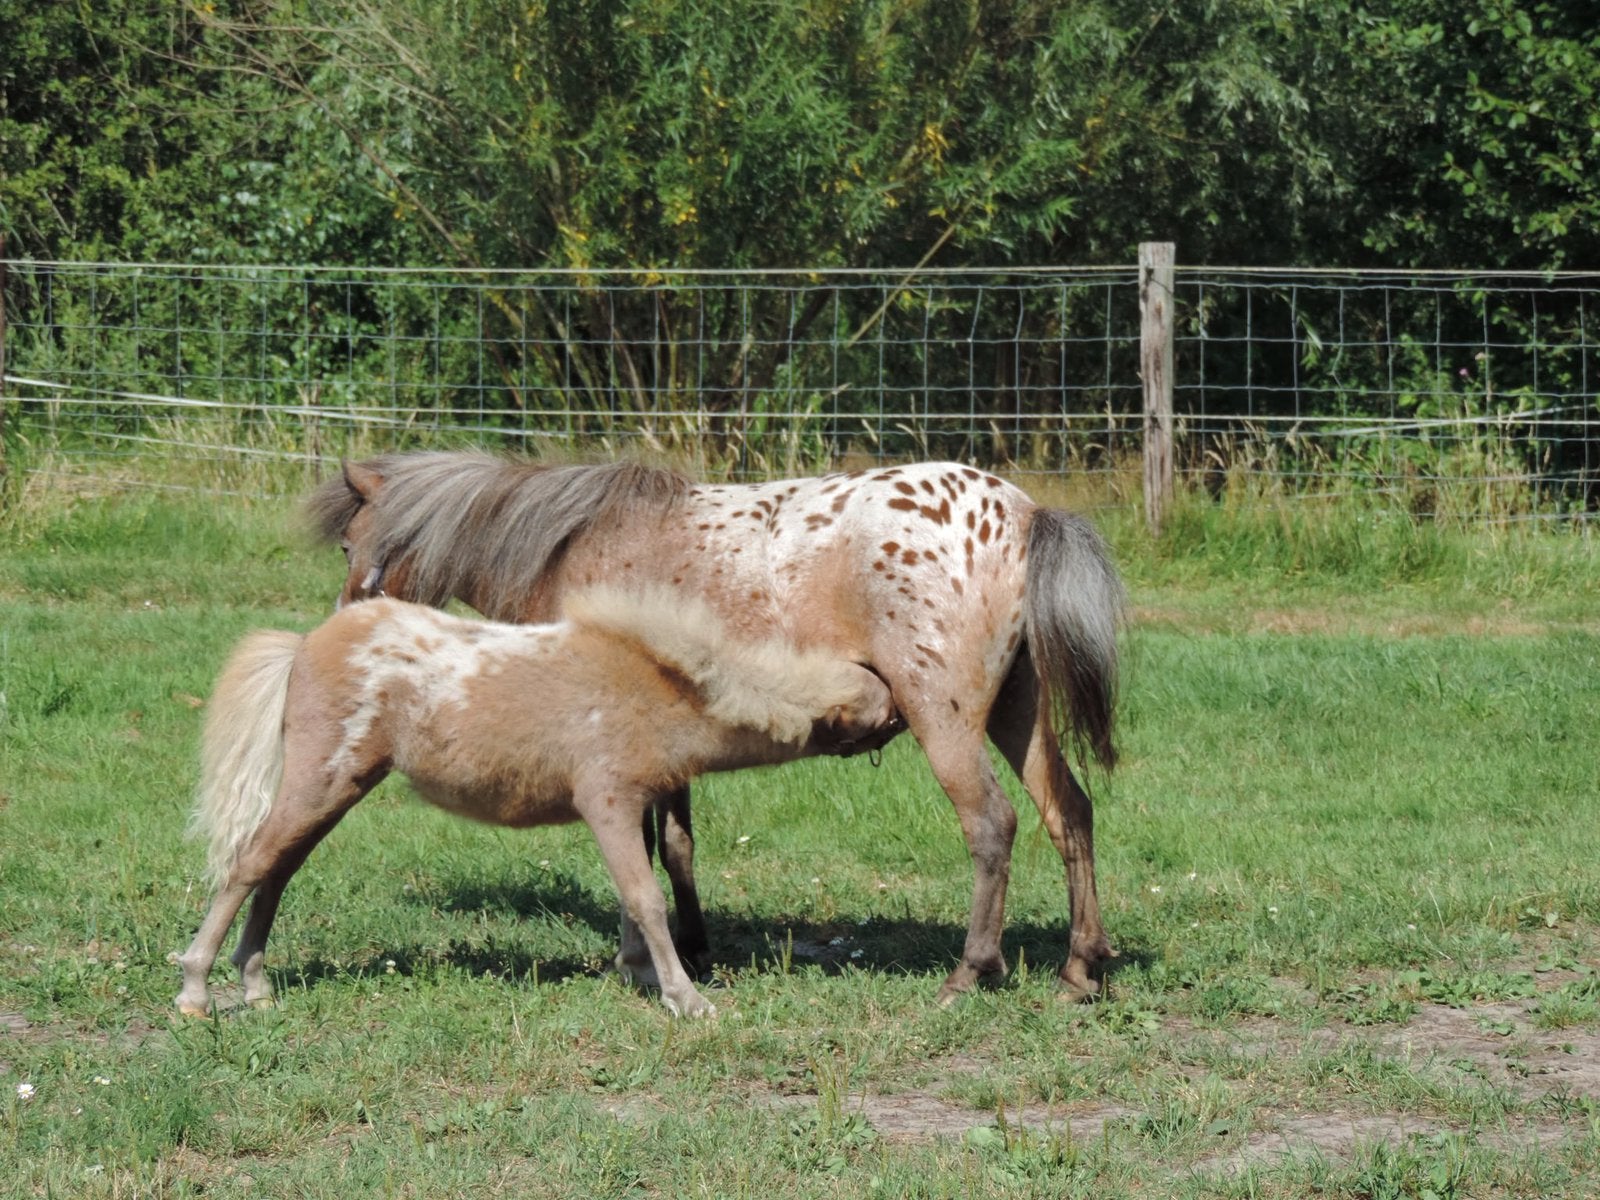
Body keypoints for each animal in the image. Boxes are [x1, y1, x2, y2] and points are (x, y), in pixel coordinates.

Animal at [175, 588, 900, 1019]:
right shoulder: (608, 800)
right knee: (249, 865)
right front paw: (685, 997)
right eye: (881, 703)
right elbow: (646, 898)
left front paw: (636, 971)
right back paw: (195, 988)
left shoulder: (633, 806)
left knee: (277, 872)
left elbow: (633, 895)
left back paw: (256, 985)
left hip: (334, 791)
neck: (661, 683)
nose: (905, 717)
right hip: (319, 782)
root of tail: (305, 645)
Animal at [307, 453, 1125, 1001]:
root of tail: (1022, 514)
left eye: (350, 545)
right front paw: (692, 948)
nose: (339, 634)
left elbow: (644, 853)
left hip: (945, 722)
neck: (576, 548)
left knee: (992, 825)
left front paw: (648, 959)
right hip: (1018, 714)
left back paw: (969, 971)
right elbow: (675, 848)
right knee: (1070, 814)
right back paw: (1080, 969)